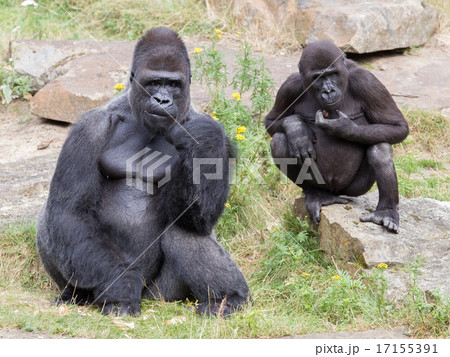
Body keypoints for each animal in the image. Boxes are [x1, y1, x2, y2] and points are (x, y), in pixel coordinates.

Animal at [36, 28, 250, 318]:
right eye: (153, 82)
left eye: (173, 85)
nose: (162, 99)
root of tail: (149, 295)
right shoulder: (88, 128)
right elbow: (70, 211)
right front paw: (121, 285)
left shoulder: (219, 135)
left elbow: (199, 217)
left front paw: (204, 141)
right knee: (51, 220)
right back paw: (75, 293)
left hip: (163, 294)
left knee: (183, 228)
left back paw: (227, 298)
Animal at [266, 40, 410, 234]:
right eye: (318, 78)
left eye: (332, 74)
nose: (328, 90)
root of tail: (334, 193)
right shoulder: (289, 87)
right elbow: (272, 122)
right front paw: (297, 129)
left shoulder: (367, 81)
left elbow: (397, 126)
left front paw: (343, 127)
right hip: (325, 185)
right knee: (279, 142)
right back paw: (315, 193)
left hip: (352, 190)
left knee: (380, 145)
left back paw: (386, 212)